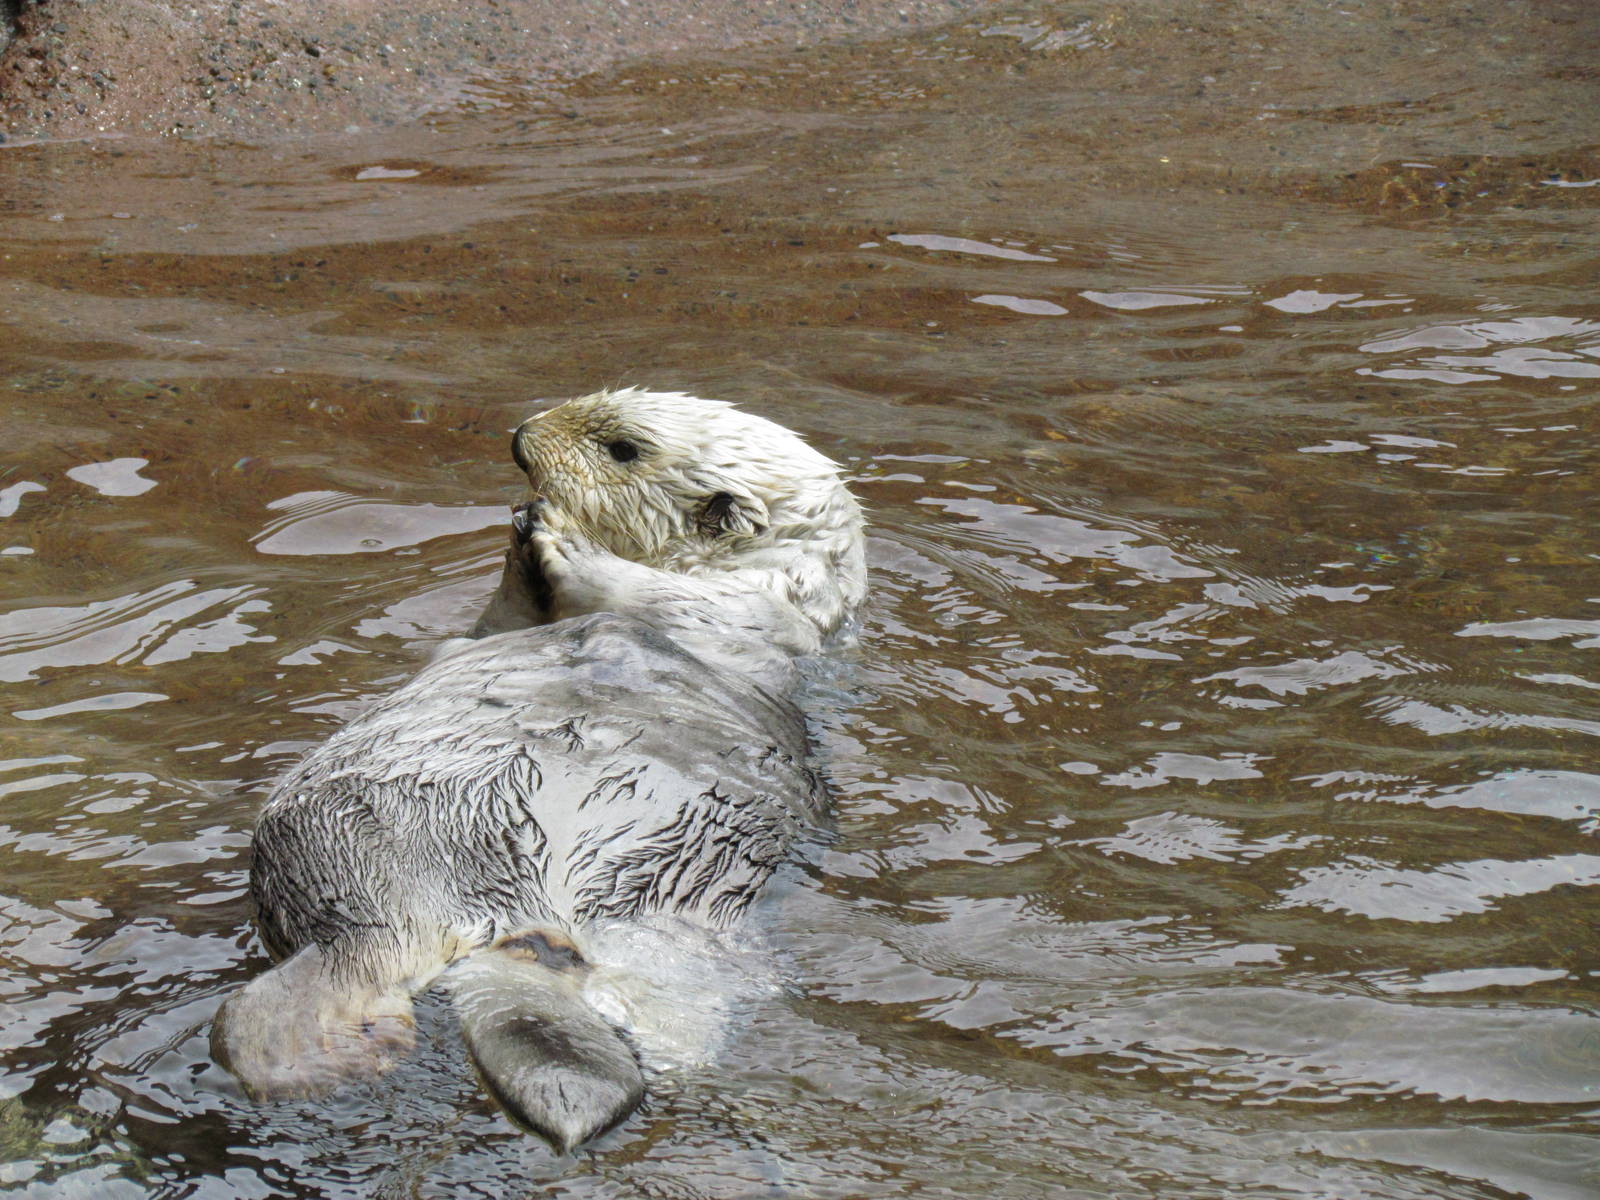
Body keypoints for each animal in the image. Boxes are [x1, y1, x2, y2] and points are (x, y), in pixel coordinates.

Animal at [211, 388, 866, 1152]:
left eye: (622, 447)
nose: (523, 434)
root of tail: (509, 923)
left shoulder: (755, 614)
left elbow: (653, 595)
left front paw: (560, 539)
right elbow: (502, 626)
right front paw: (525, 532)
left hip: (351, 845)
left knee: (353, 954)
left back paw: (309, 1055)